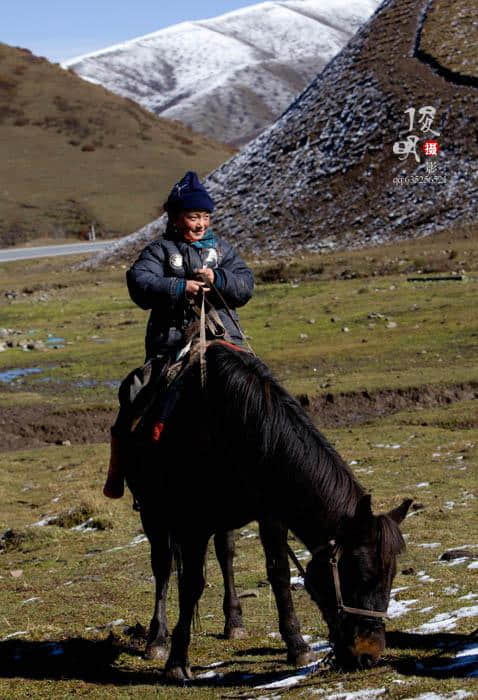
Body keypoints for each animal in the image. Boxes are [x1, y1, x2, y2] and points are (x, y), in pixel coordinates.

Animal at [126, 344, 410, 684]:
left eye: (391, 576)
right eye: (359, 572)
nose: (370, 653)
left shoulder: (271, 515)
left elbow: (279, 574)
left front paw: (297, 646)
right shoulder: (193, 525)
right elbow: (191, 584)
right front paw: (177, 663)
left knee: (226, 555)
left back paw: (234, 623)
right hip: (153, 513)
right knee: (163, 567)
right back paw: (157, 640)